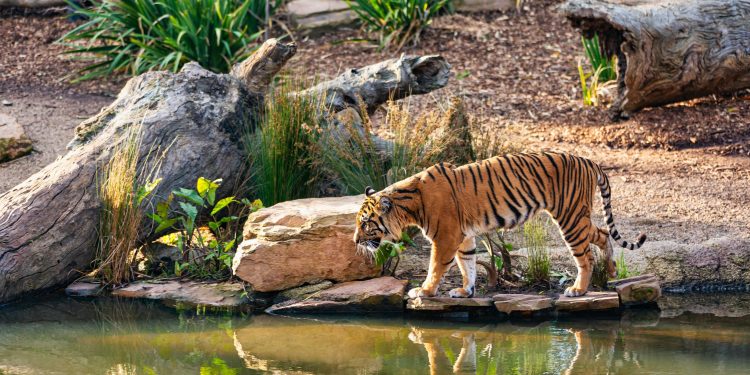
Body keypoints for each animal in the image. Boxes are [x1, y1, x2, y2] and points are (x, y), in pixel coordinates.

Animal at [352, 152, 648, 300]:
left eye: (366, 223)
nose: (355, 241)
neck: (410, 203)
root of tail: (589, 160)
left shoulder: (445, 237)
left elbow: (435, 267)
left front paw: (424, 291)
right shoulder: (463, 237)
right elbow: (468, 265)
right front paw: (466, 291)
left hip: (570, 217)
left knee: (585, 255)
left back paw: (578, 289)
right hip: (579, 216)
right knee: (602, 234)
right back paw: (611, 270)